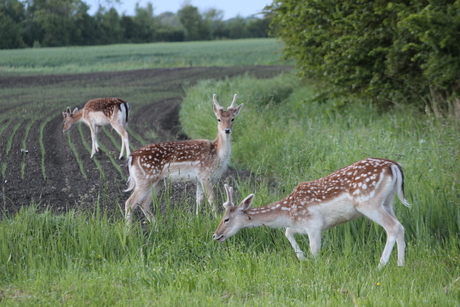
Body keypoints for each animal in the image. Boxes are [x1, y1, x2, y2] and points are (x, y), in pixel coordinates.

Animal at [122, 92, 244, 225]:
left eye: (232, 119)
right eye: (219, 119)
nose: (227, 130)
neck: (217, 154)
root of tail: (132, 157)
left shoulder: (198, 179)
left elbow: (199, 200)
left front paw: (197, 220)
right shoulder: (205, 175)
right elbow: (212, 198)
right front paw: (217, 219)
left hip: (157, 181)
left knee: (144, 203)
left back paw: (157, 226)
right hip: (145, 179)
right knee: (130, 203)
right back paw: (129, 230)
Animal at [214, 160, 412, 268]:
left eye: (226, 219)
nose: (215, 235)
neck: (287, 213)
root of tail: (393, 166)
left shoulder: (313, 224)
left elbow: (314, 250)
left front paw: (314, 266)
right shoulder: (302, 225)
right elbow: (288, 232)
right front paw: (301, 257)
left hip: (368, 203)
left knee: (393, 226)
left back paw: (381, 265)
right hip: (388, 201)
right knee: (401, 226)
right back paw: (401, 264)